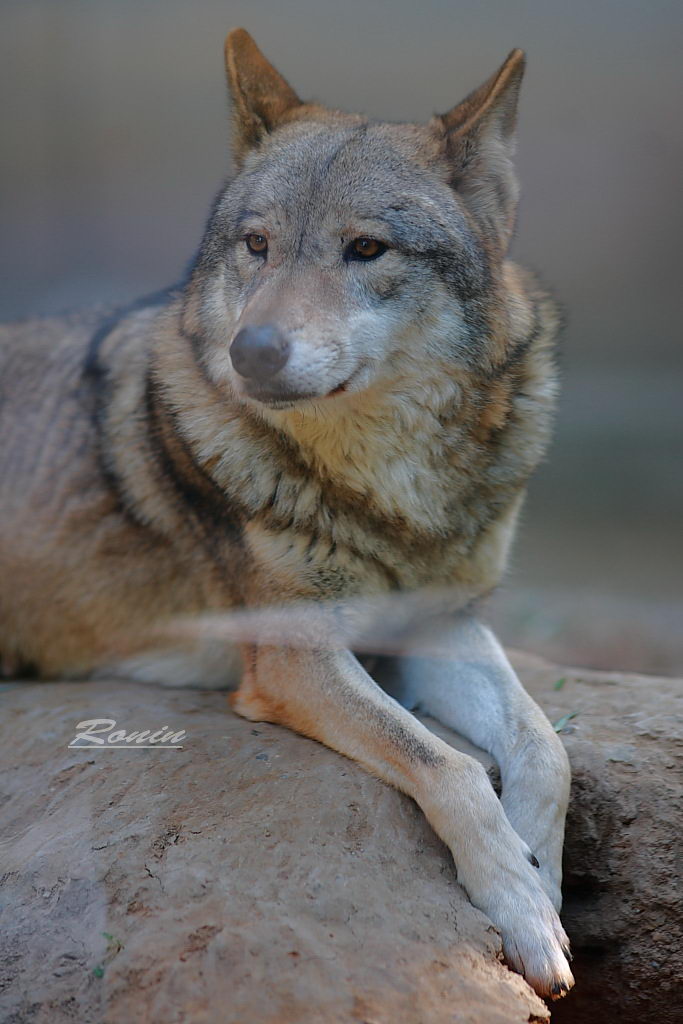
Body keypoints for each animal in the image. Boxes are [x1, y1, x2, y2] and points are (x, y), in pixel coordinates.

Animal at [0, 28, 577, 995]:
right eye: (257, 245)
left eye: (366, 248)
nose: (252, 352)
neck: (391, 492)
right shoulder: (294, 655)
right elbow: (451, 767)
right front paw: (521, 904)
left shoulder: (435, 623)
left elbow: (543, 747)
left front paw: (546, 879)